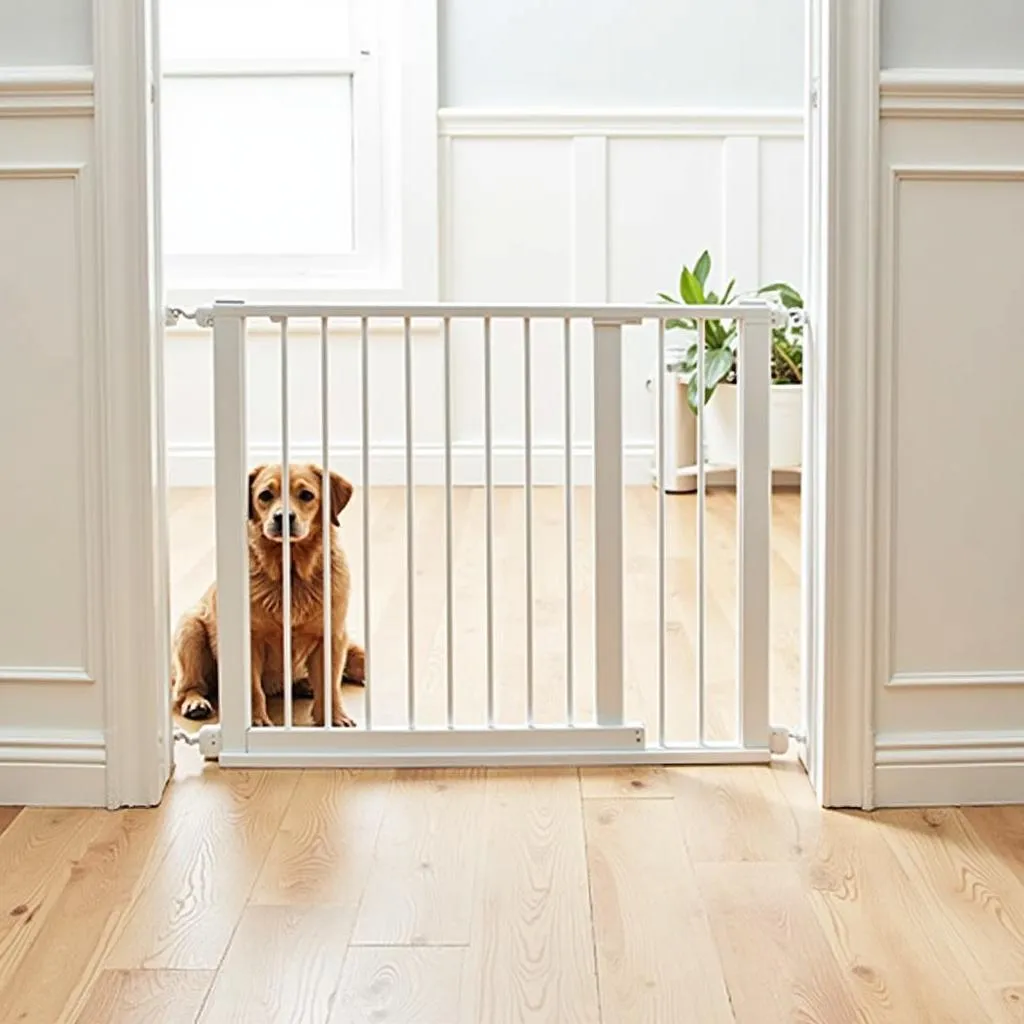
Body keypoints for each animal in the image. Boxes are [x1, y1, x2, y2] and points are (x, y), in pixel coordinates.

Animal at [174, 464, 366, 729]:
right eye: (265, 495)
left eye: (306, 495)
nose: (282, 517)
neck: (290, 573)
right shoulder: (251, 640)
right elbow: (253, 689)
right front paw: (256, 720)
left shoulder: (333, 635)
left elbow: (330, 684)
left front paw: (334, 718)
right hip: (190, 630)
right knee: (187, 687)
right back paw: (195, 703)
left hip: (352, 645)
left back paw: (305, 684)